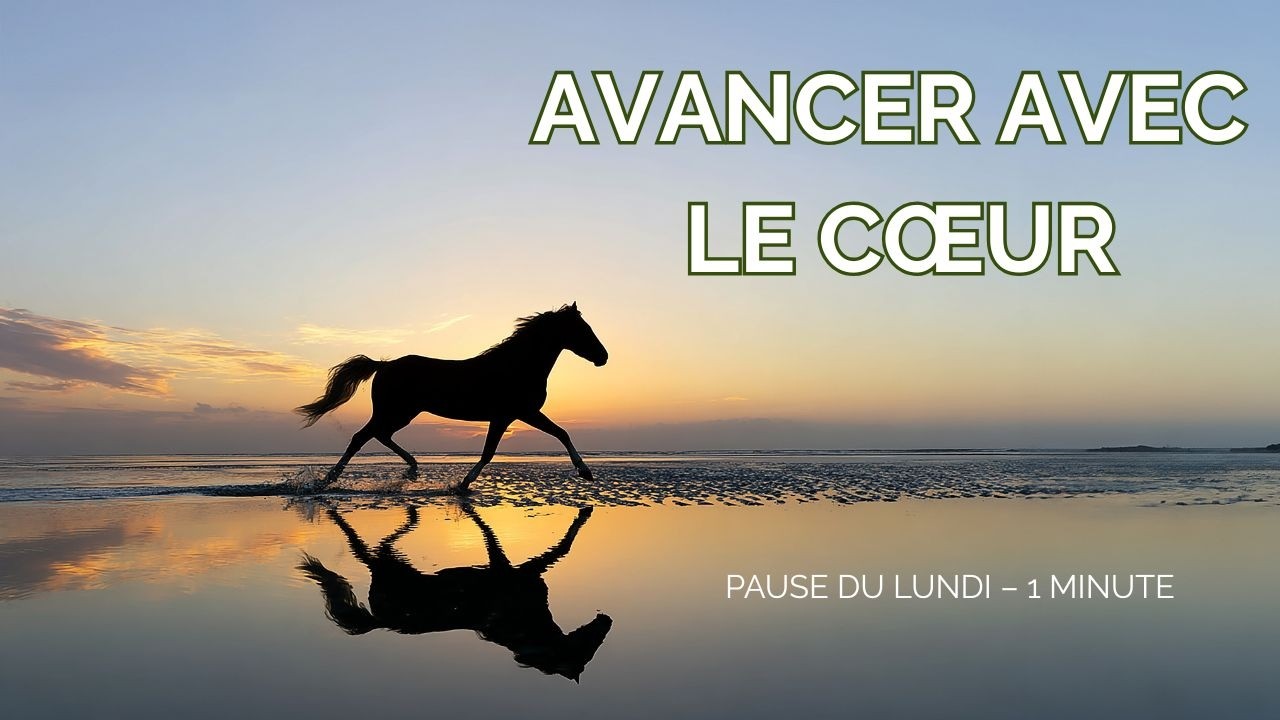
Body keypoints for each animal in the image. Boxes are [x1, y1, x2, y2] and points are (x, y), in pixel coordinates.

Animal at [295, 303, 608, 491]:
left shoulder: (513, 416)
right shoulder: (515, 414)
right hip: (393, 411)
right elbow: (499, 450)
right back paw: (326, 481)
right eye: (583, 329)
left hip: (404, 413)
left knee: (381, 435)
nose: (603, 357)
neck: (516, 366)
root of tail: (384, 365)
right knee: (361, 437)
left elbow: (555, 434)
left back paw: (412, 467)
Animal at [298, 504, 612, 682]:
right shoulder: (517, 569)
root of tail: (380, 621)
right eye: (587, 652)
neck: (522, 624)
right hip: (384, 565)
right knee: (359, 548)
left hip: (391, 561)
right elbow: (563, 547)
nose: (607, 620)